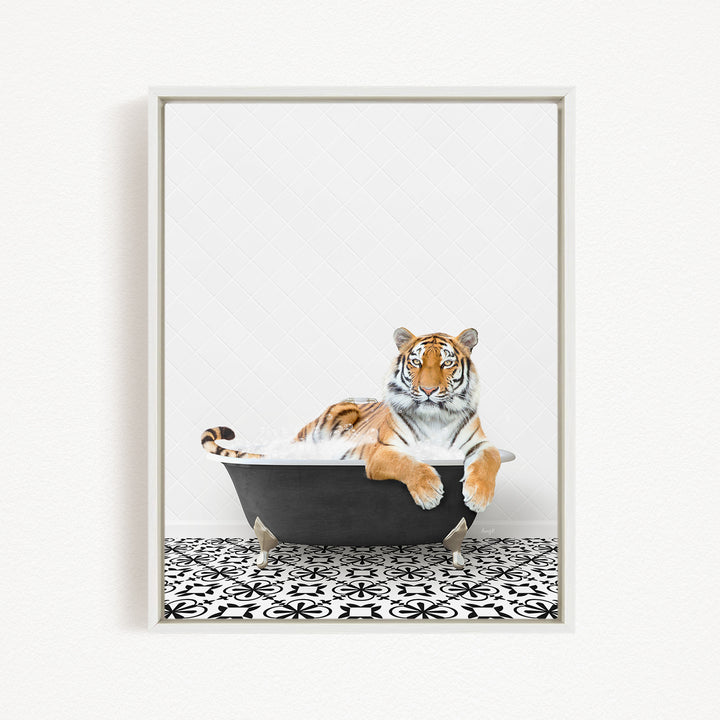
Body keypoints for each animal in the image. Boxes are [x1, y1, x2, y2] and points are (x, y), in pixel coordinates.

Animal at [201, 327, 501, 513]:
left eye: (446, 363)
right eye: (416, 362)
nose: (428, 390)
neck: (434, 417)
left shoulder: (480, 445)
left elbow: (490, 459)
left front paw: (478, 496)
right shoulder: (382, 452)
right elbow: (408, 463)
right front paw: (429, 492)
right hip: (338, 413)